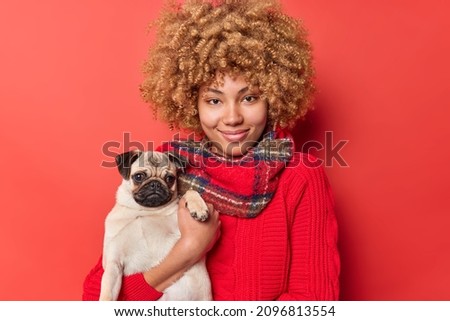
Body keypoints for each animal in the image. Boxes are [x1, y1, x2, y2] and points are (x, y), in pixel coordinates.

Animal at [99, 150, 212, 300]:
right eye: (139, 177)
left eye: (170, 178)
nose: (155, 184)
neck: (145, 211)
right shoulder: (113, 262)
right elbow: (107, 295)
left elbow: (189, 192)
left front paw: (198, 207)